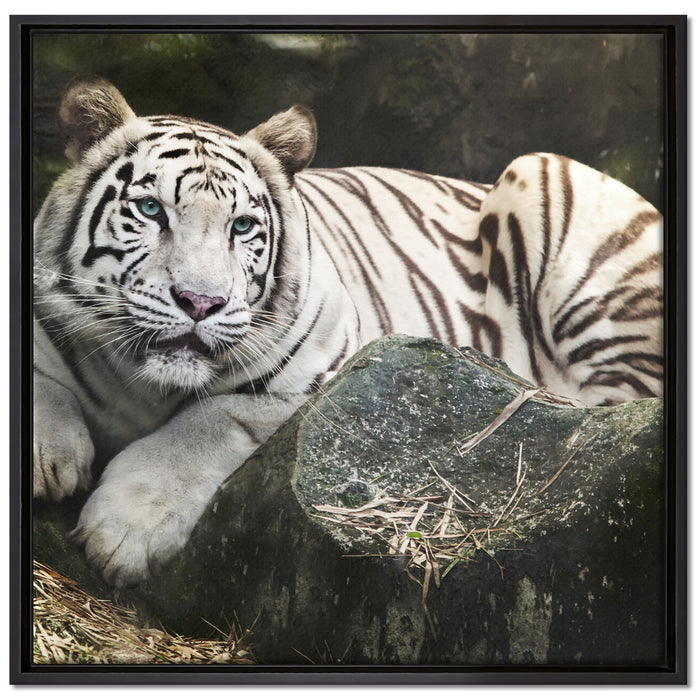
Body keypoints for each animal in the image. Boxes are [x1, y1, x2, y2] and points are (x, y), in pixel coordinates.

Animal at [33, 76, 663, 587]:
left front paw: (123, 532)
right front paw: (49, 456)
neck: (142, 385)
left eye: (242, 227)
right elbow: (44, 381)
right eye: (149, 210)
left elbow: (208, 422)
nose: (201, 302)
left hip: (550, 181)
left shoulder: (317, 375)